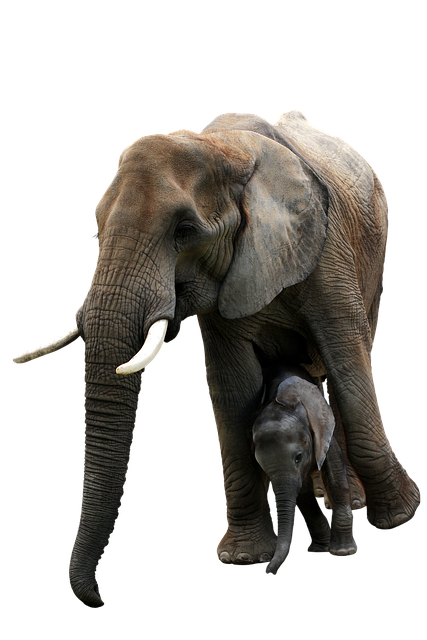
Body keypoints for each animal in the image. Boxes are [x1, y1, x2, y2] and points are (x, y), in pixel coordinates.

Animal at [252, 363, 359, 576]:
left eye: (298, 457)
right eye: (262, 466)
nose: (267, 568)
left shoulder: (321, 428)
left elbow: (334, 474)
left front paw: (343, 551)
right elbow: (303, 492)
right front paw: (321, 550)